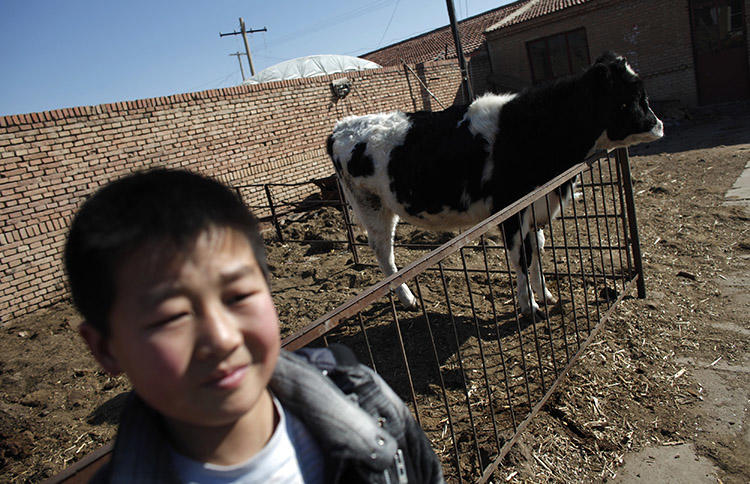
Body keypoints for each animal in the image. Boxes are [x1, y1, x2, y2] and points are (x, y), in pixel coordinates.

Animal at [328, 52, 664, 314]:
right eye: (633, 99)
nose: (659, 124)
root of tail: (342, 126)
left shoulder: (535, 206)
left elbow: (537, 250)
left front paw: (545, 294)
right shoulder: (510, 208)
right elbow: (521, 256)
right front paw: (529, 305)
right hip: (372, 208)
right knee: (385, 254)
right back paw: (407, 298)